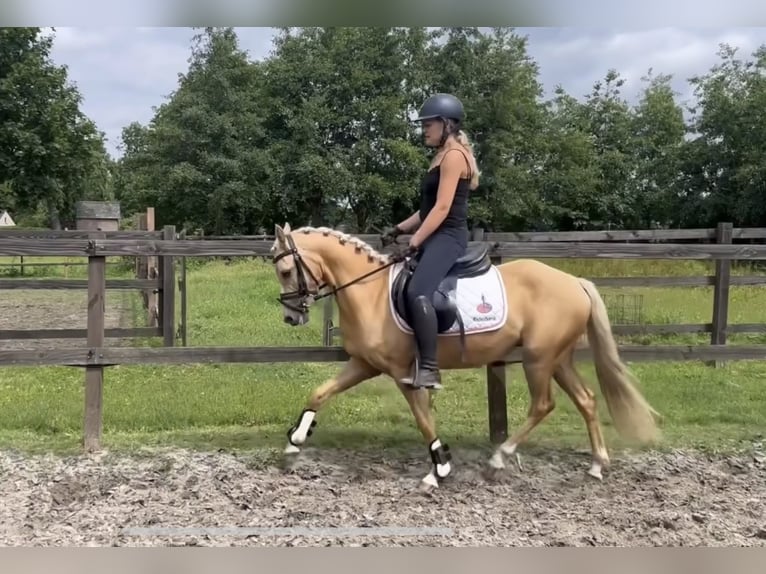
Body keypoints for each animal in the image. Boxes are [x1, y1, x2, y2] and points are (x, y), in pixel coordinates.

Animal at [270, 223, 660, 492]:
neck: (372, 292)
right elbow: (321, 392)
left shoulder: (403, 373)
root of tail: (574, 281)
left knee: (543, 405)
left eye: (286, 271)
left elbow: (423, 419)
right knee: (587, 400)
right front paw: (295, 443)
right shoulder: (365, 364)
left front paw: (438, 470)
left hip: (539, 359)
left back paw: (498, 460)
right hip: (558, 359)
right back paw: (596, 465)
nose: (290, 317)